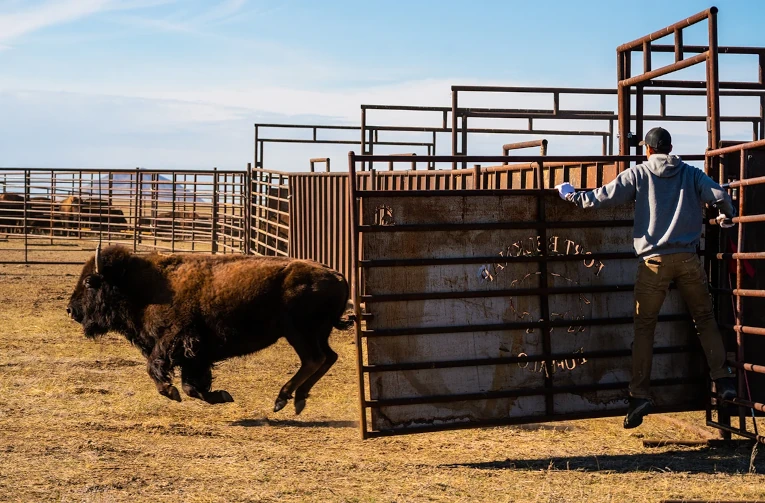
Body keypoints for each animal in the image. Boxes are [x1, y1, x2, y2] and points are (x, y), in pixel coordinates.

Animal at [67, 245, 354, 414]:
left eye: (90, 281)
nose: (71, 310)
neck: (141, 285)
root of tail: (338, 275)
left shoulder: (175, 342)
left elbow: (157, 370)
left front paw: (171, 392)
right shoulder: (196, 355)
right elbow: (192, 386)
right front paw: (221, 395)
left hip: (299, 333)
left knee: (314, 359)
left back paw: (282, 400)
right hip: (316, 334)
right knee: (328, 358)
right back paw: (299, 399)